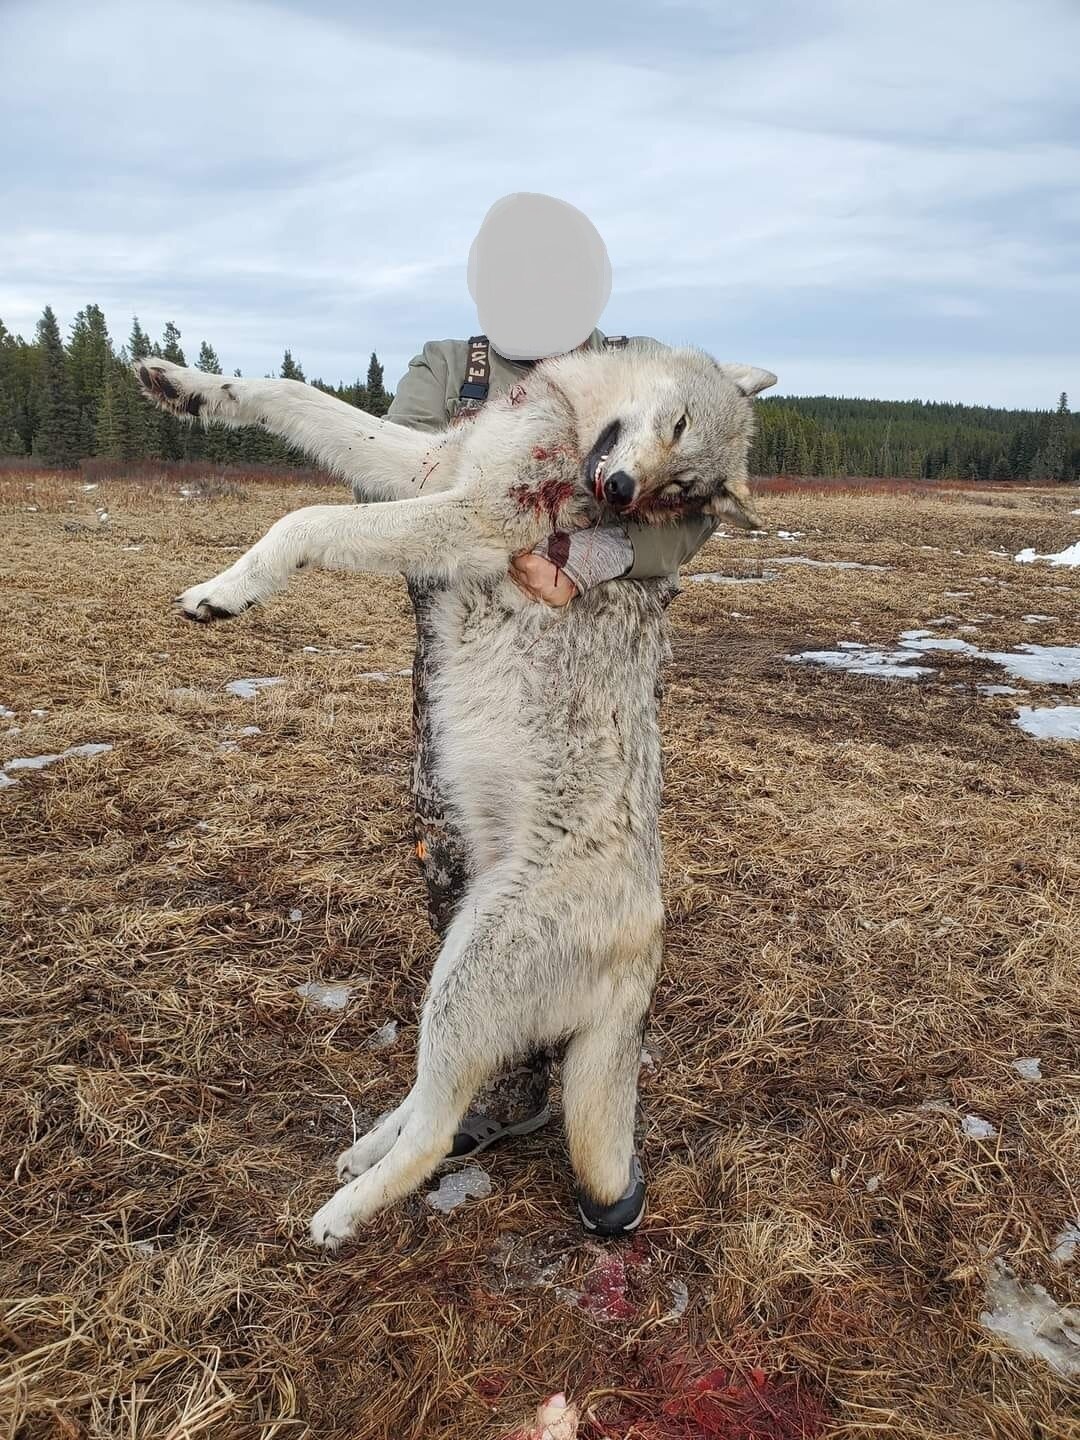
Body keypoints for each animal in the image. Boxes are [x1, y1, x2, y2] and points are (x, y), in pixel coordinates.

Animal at [136, 342, 776, 1246]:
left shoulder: (470, 516)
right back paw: (367, 1147)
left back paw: (340, 1216)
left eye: (678, 493)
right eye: (678, 431)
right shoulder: (430, 462)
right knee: (428, 1094)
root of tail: (645, 955)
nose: (619, 492)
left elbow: (305, 521)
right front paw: (184, 385)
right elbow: (293, 396)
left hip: (469, 982)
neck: (565, 411)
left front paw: (227, 590)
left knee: (438, 1131)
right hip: (451, 964)